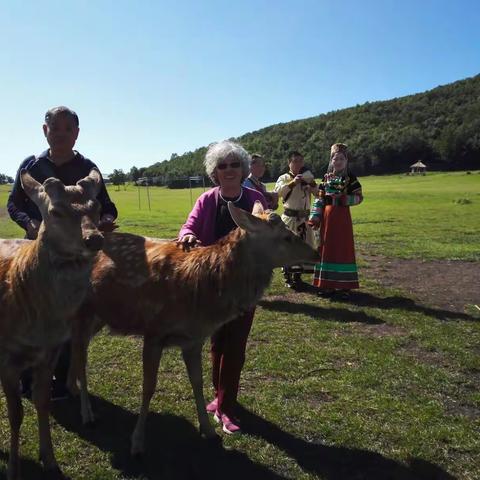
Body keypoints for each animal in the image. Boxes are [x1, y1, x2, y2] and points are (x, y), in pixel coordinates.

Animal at [0, 170, 104, 480]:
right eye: (56, 211)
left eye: (96, 207)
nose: (94, 239)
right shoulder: (7, 356)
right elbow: (16, 414)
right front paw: (13, 469)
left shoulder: (51, 352)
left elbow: (42, 402)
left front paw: (50, 460)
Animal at [65, 202, 316, 458]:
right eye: (286, 237)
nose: (314, 254)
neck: (198, 294)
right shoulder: (154, 331)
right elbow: (148, 386)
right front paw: (137, 442)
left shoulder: (193, 339)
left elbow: (197, 381)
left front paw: (209, 430)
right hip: (83, 311)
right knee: (81, 357)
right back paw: (87, 413)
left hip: (98, 317)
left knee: (74, 348)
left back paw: (72, 389)